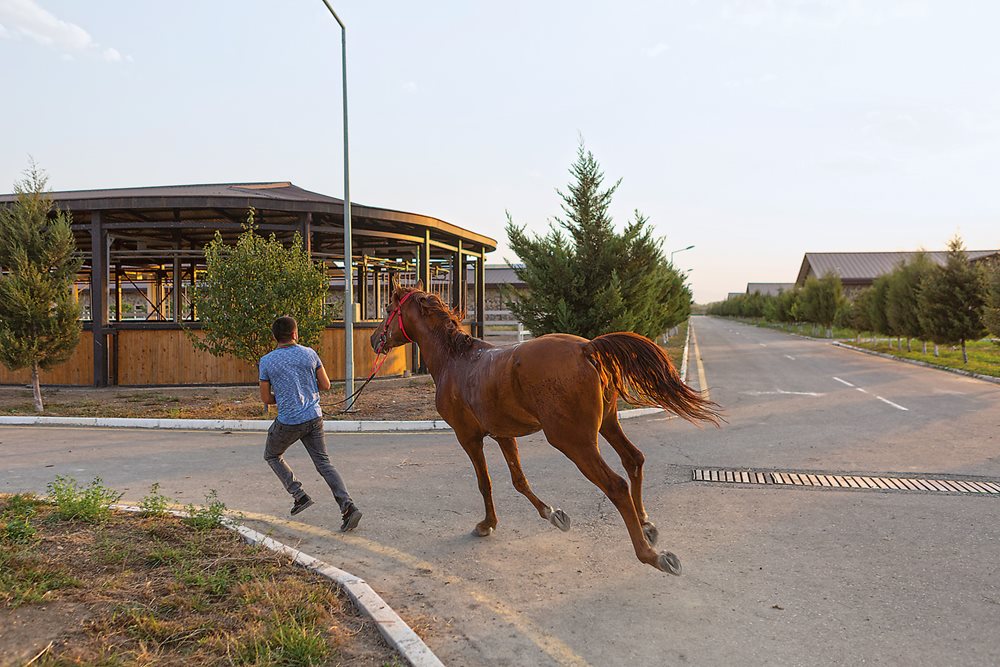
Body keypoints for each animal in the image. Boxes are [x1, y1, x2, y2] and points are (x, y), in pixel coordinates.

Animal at [368, 282, 720, 576]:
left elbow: (485, 483)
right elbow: (519, 480)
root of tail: (587, 349)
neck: (457, 361)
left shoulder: (468, 438)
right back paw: (647, 525)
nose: (374, 339)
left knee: (616, 485)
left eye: (386, 308)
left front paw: (487, 525)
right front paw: (553, 514)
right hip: (608, 425)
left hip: (574, 442)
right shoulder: (503, 434)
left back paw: (652, 555)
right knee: (633, 460)